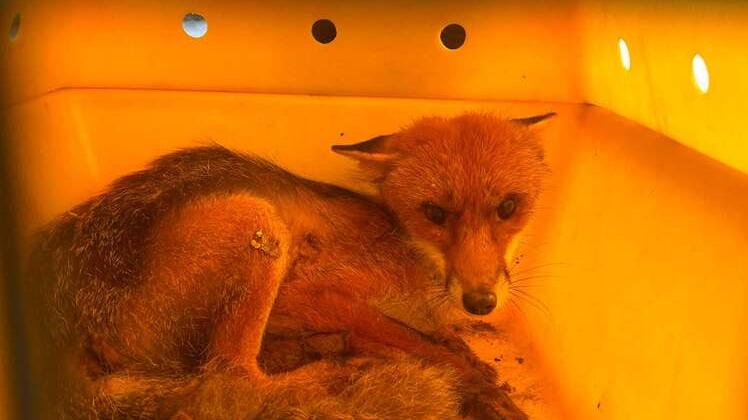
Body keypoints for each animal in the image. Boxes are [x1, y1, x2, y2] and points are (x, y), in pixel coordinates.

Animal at [28, 111, 555, 419]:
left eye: (508, 208)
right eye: (435, 213)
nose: (481, 302)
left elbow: (437, 339)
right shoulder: (313, 292)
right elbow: (416, 341)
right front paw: (475, 384)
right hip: (259, 226)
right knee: (234, 375)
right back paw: (334, 372)